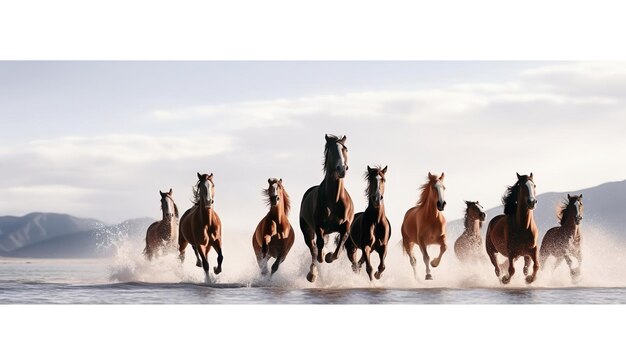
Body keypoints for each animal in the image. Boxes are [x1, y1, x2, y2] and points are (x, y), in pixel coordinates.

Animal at [298, 134, 354, 284]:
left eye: (345, 149)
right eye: (332, 150)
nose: (342, 168)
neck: (334, 199)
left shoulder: (345, 226)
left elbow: (339, 248)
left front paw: (329, 256)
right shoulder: (319, 227)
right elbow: (318, 248)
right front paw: (323, 256)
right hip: (307, 230)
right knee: (312, 248)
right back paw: (312, 274)